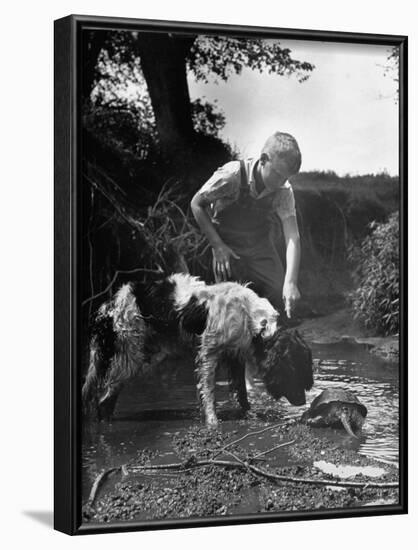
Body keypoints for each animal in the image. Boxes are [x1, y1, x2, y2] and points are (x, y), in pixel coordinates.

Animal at [82, 274, 314, 426]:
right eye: (296, 370)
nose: (304, 402)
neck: (250, 317)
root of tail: (108, 306)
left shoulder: (235, 355)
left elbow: (241, 393)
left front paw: (248, 415)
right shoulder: (208, 354)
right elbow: (208, 392)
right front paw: (212, 423)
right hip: (133, 357)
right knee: (104, 399)